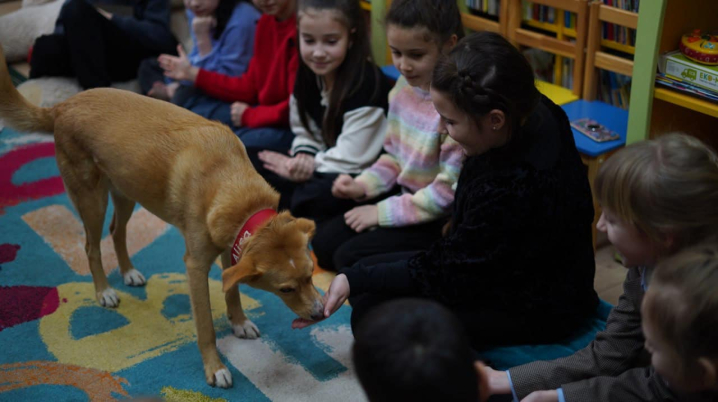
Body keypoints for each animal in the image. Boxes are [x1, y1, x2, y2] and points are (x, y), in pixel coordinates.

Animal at [0, 45, 324, 388]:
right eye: (286, 289)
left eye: (311, 273)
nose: (320, 314)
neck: (230, 182)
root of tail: (62, 106)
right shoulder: (195, 266)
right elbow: (206, 326)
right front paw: (215, 367)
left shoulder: (232, 248)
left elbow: (233, 290)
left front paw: (239, 322)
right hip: (91, 199)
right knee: (91, 246)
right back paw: (104, 291)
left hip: (127, 191)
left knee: (116, 231)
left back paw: (129, 272)